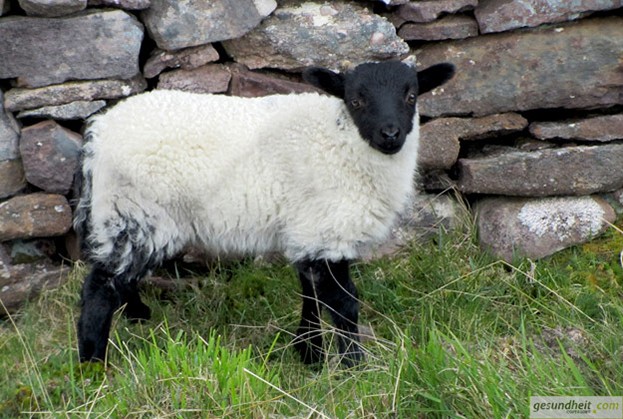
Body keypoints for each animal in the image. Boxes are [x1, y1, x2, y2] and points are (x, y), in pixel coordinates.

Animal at [75, 60, 456, 368]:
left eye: (411, 96)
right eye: (356, 101)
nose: (390, 134)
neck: (339, 138)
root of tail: (98, 134)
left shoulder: (307, 230)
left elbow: (310, 295)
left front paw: (309, 353)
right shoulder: (329, 231)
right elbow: (344, 303)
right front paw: (353, 366)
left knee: (122, 277)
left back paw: (138, 316)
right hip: (135, 211)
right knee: (101, 284)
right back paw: (93, 362)